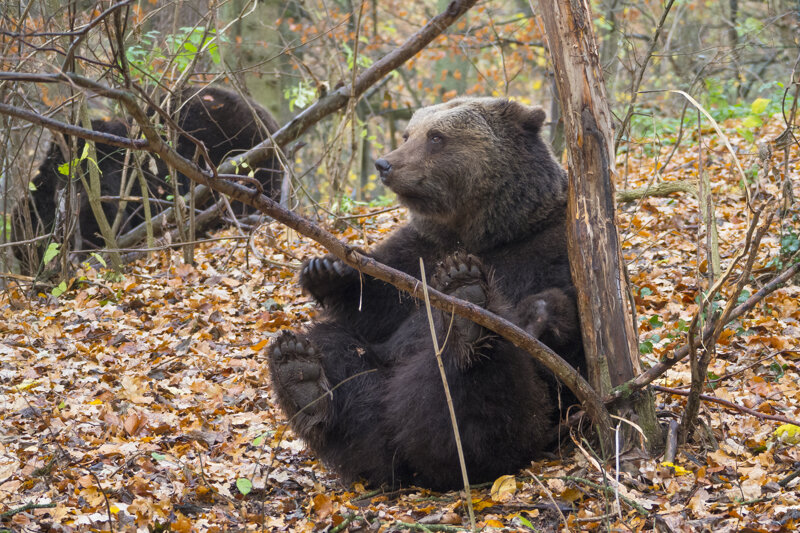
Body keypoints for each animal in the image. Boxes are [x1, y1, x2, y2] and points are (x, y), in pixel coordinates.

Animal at [12, 85, 282, 272]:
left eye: (26, 249)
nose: (29, 269)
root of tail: (267, 120)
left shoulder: (98, 175)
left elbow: (102, 220)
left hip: (247, 160)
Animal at [267, 97, 583, 491]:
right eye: (408, 133)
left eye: (436, 137)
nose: (385, 163)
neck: (484, 232)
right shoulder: (417, 253)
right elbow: (373, 305)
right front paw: (325, 268)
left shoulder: (550, 246)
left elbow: (565, 327)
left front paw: (531, 311)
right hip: (375, 382)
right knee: (339, 355)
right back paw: (302, 377)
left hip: (522, 415)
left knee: (484, 395)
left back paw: (468, 320)